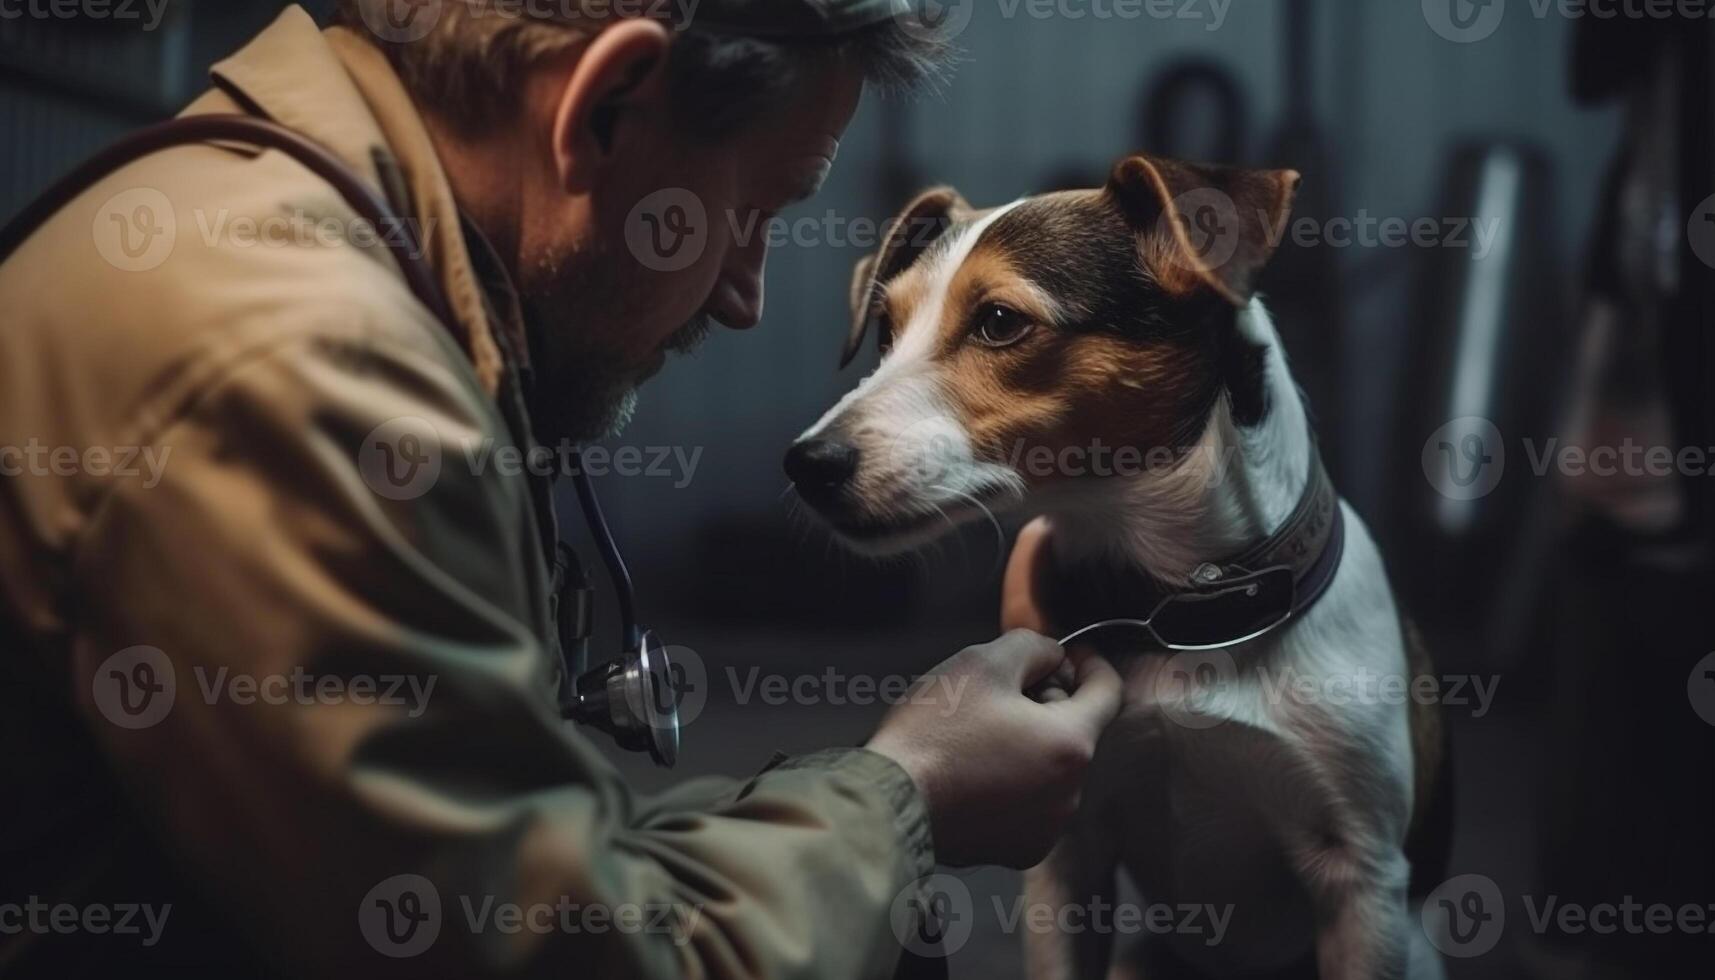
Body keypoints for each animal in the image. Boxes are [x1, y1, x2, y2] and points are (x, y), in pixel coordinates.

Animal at [785, 155, 1447, 980]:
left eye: (999, 321)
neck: (1180, 612)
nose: (804, 465)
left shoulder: (1361, 883)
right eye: (885, 329)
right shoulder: (1069, 857)